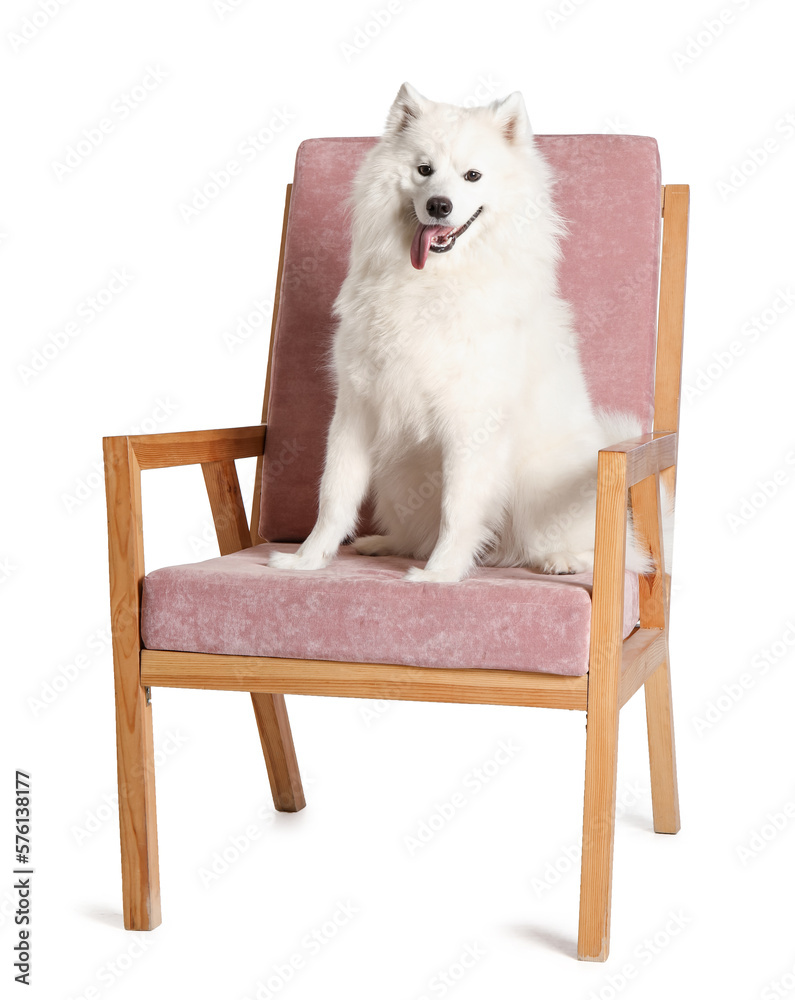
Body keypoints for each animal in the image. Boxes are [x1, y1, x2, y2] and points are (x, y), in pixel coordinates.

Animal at [270, 87, 648, 584]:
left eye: (473, 176)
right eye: (424, 169)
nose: (439, 206)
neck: (432, 283)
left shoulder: (470, 420)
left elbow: (459, 506)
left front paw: (440, 575)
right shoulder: (355, 409)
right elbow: (334, 496)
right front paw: (306, 562)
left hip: (541, 487)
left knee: (615, 554)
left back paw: (561, 560)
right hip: (397, 478)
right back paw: (384, 543)